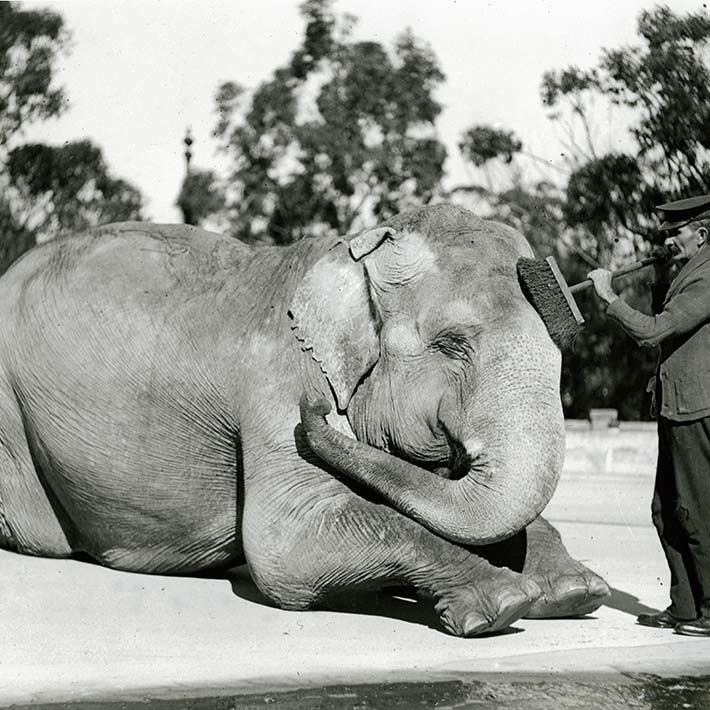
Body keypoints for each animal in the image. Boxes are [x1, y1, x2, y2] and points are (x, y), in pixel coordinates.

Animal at [0, 204, 612, 640]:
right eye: (451, 345)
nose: (317, 416)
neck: (352, 250)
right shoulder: (278, 381)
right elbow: (286, 544)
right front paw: (504, 602)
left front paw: (576, 593)